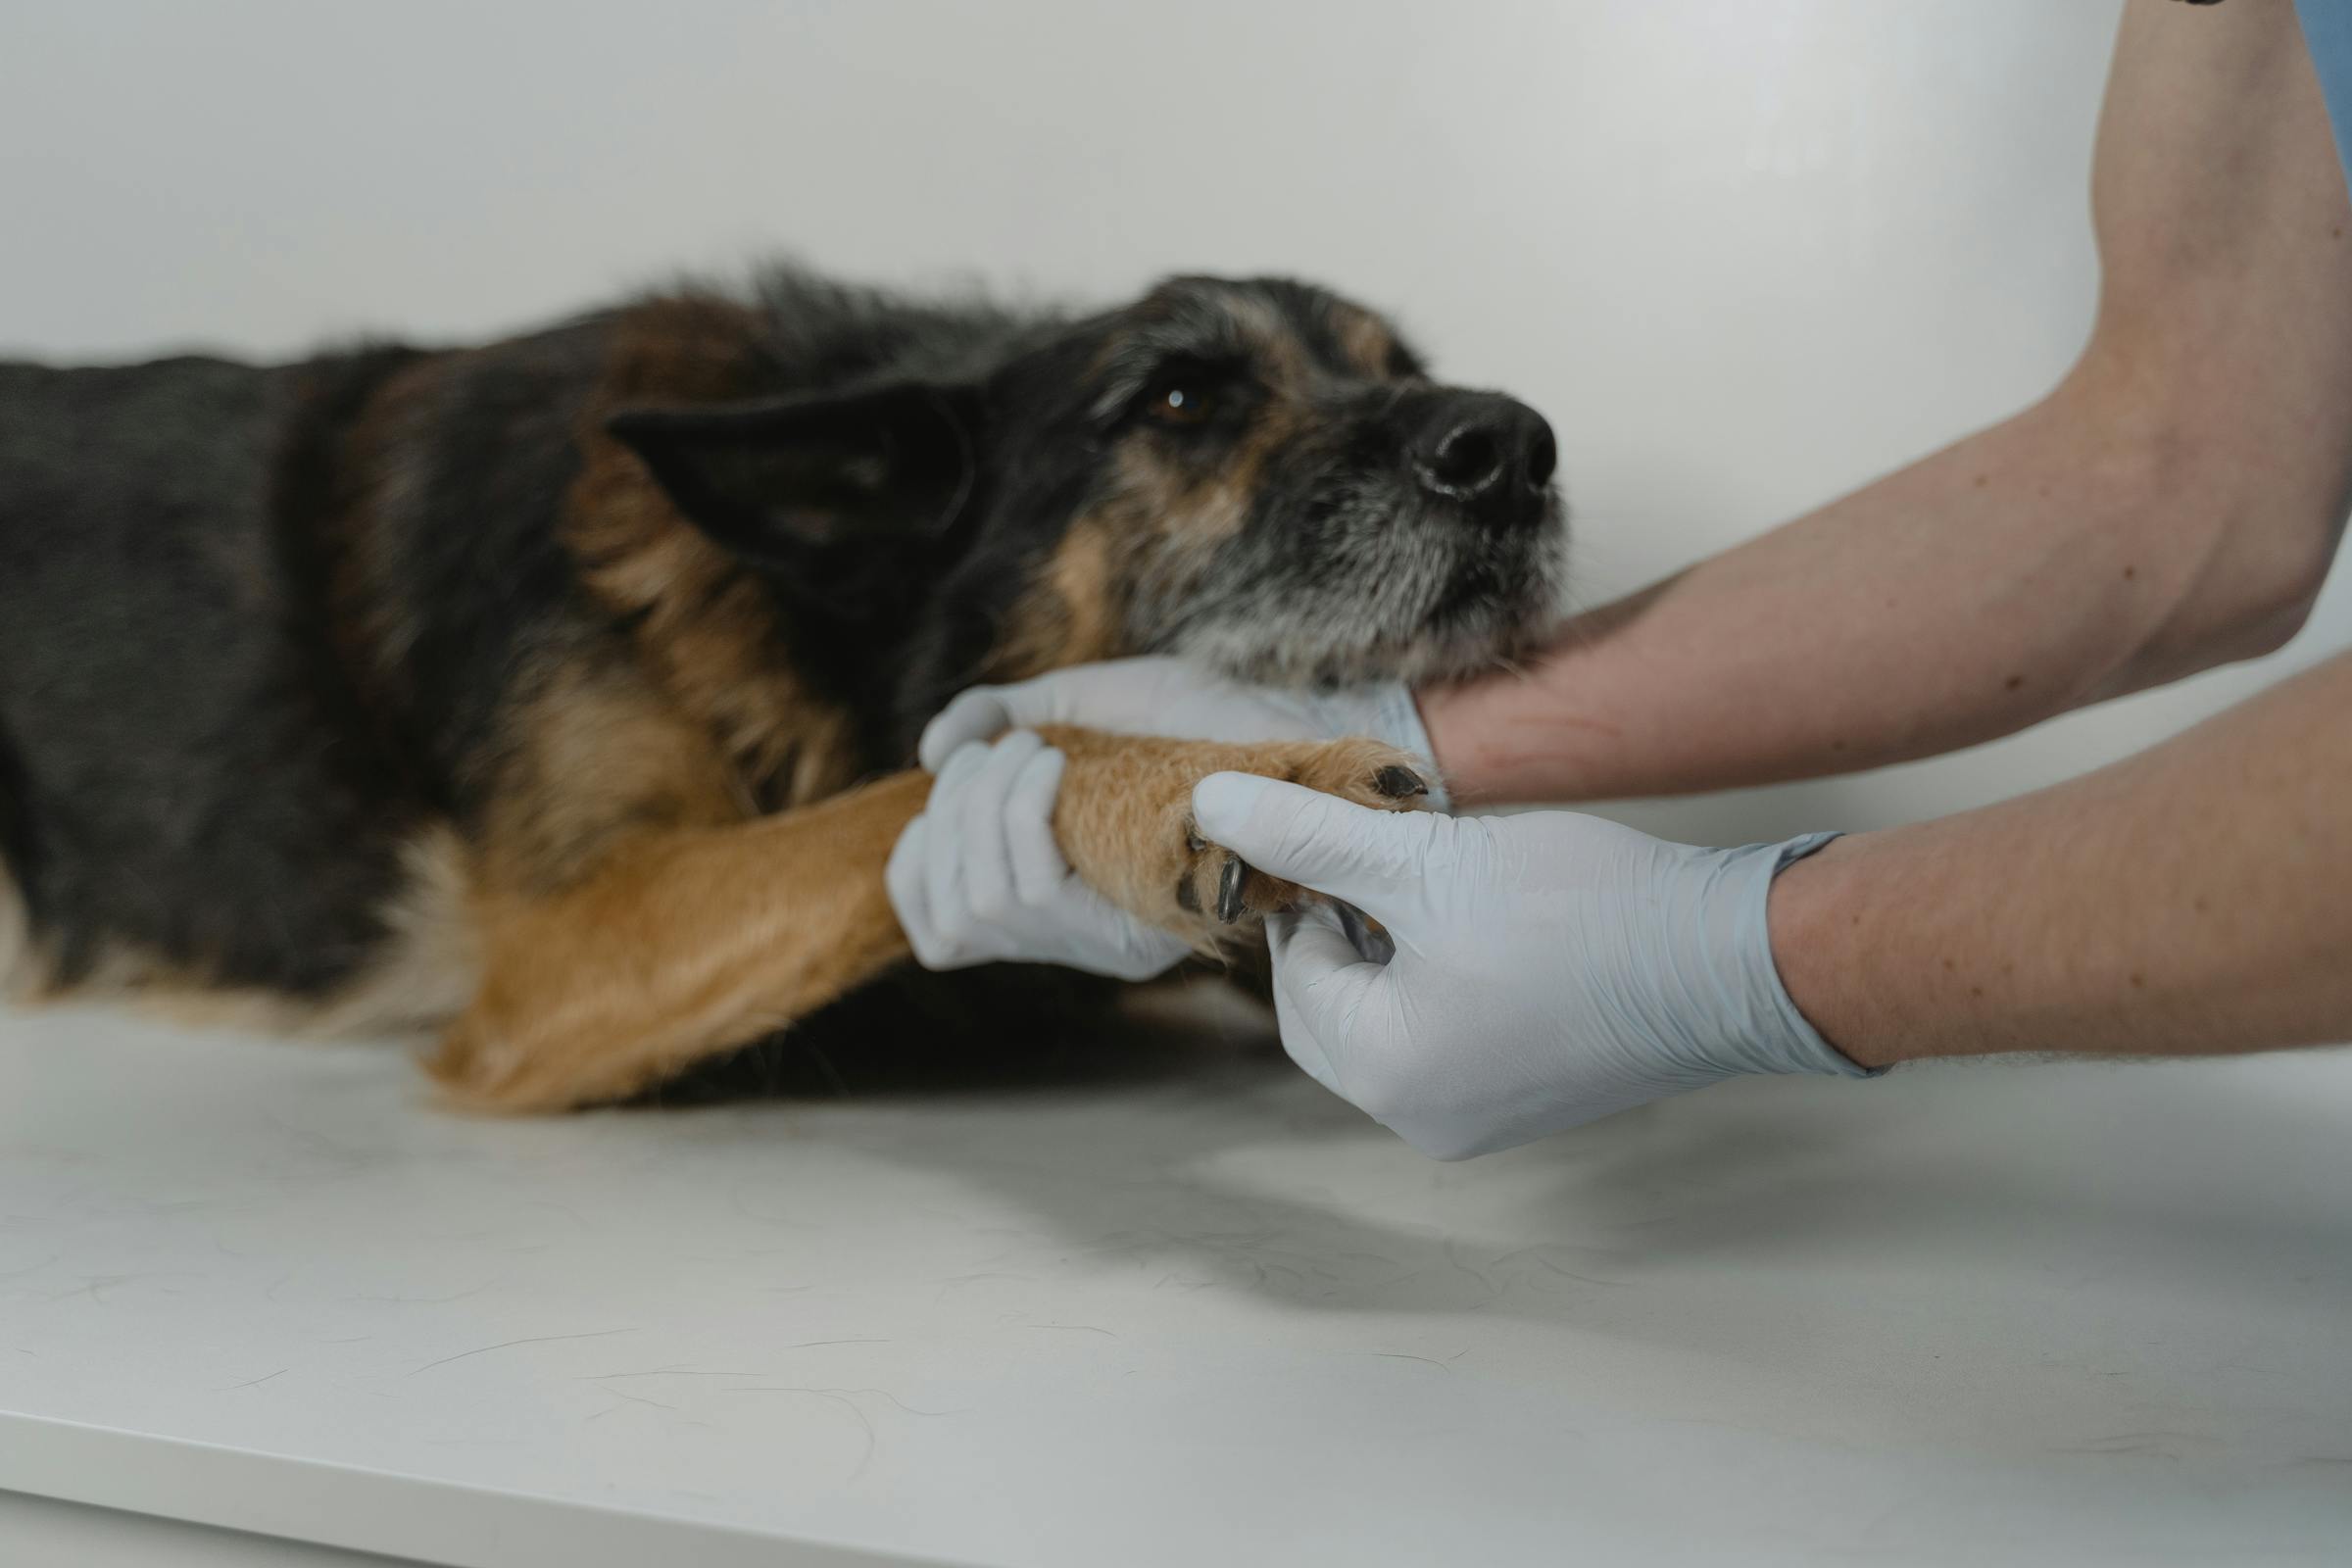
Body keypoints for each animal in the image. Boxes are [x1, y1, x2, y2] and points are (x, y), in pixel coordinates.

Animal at [4, 263, 1580, 1109]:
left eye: (1402, 366)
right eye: (1181, 401)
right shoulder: (557, 954)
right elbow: (950, 771)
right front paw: (1218, 779)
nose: (1513, 448)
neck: (807, 620)